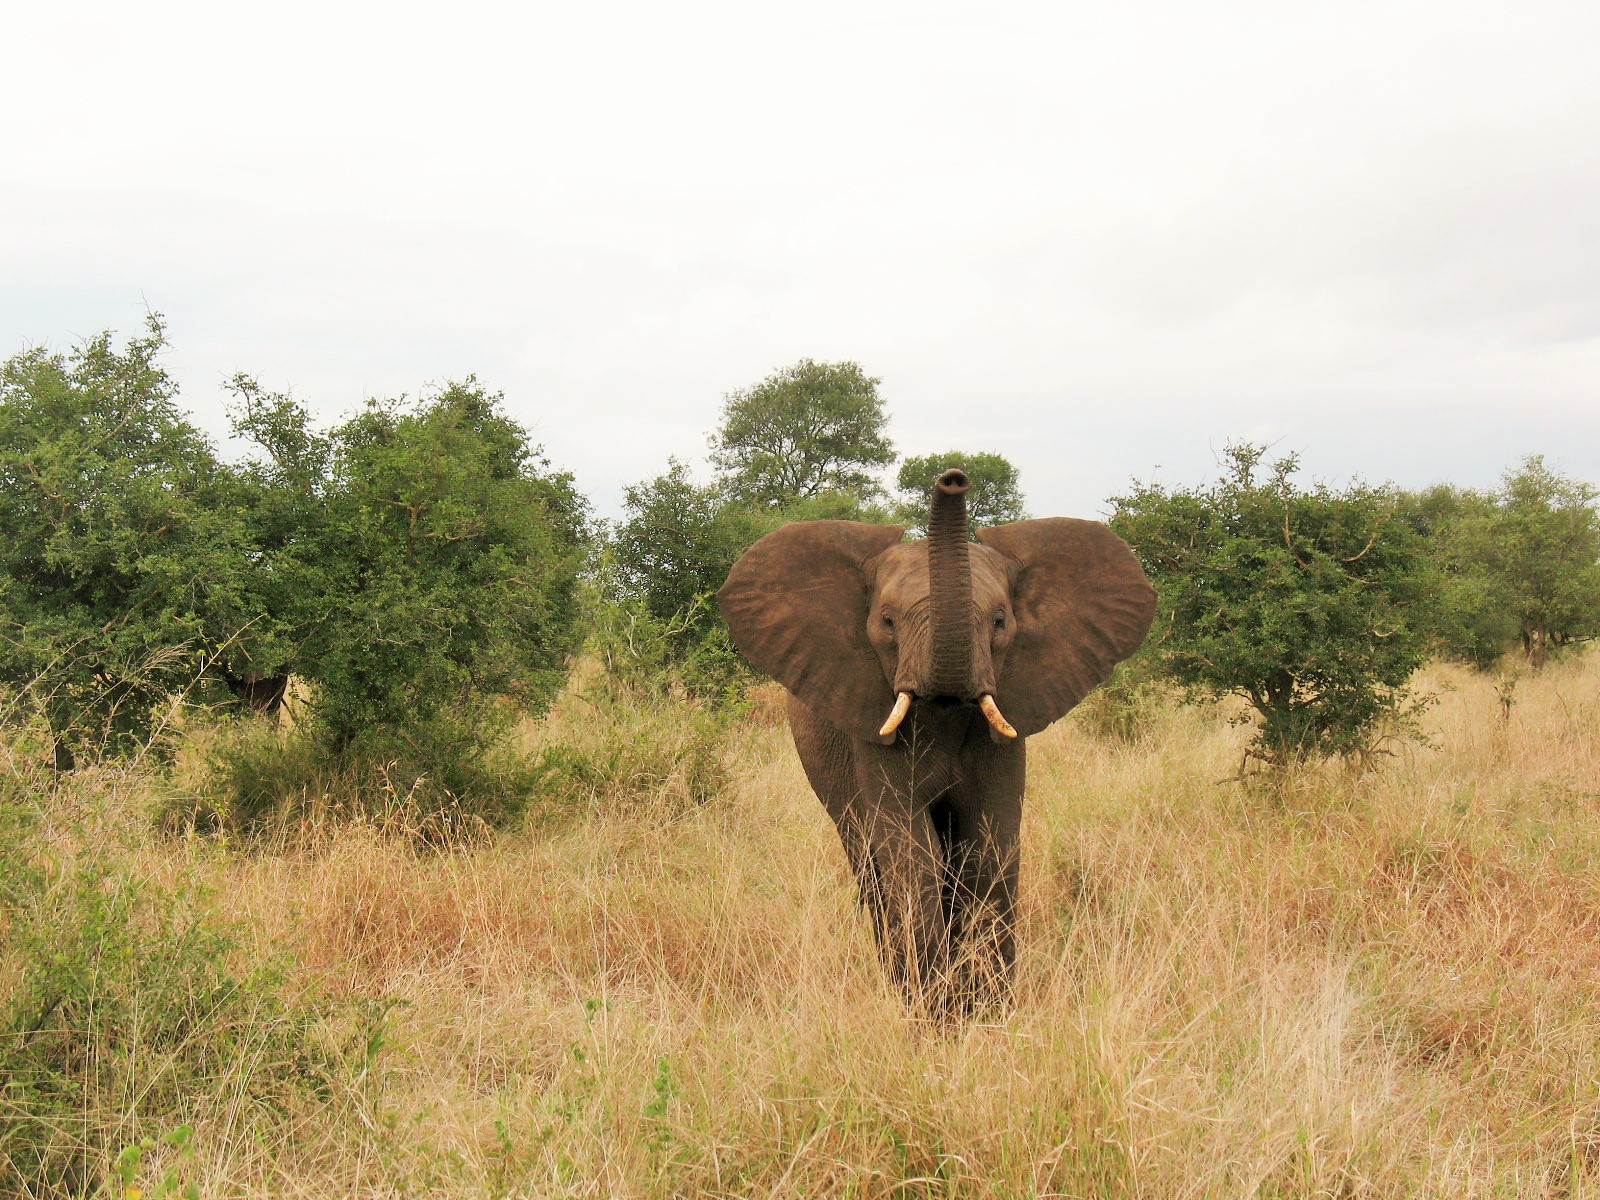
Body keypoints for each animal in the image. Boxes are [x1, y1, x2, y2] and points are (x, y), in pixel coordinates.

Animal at [717, 467, 1155, 1015]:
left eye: (1000, 622)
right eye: (887, 621)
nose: (953, 479)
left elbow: (989, 843)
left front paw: (986, 1013)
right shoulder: (869, 719)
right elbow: (909, 849)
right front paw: (934, 1015)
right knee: (869, 861)